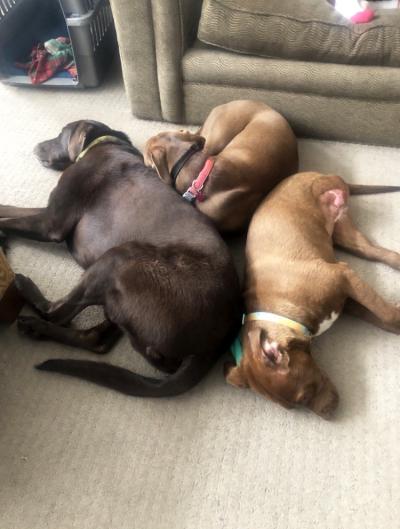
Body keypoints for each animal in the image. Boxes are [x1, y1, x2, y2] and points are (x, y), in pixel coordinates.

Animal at [227, 173, 400, 420]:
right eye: (297, 405)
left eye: (305, 396)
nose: (328, 415)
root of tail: (316, 173)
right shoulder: (346, 302)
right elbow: (378, 316)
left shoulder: (343, 275)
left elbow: (385, 314)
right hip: (346, 235)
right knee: (383, 254)